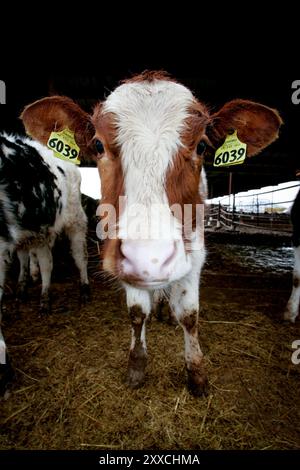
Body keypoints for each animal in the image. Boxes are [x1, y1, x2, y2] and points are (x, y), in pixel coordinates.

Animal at [19, 71, 282, 394]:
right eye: (98, 145)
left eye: (202, 146)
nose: (150, 258)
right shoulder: (121, 258)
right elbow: (136, 313)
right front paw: (136, 366)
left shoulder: (195, 254)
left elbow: (190, 316)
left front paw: (196, 374)